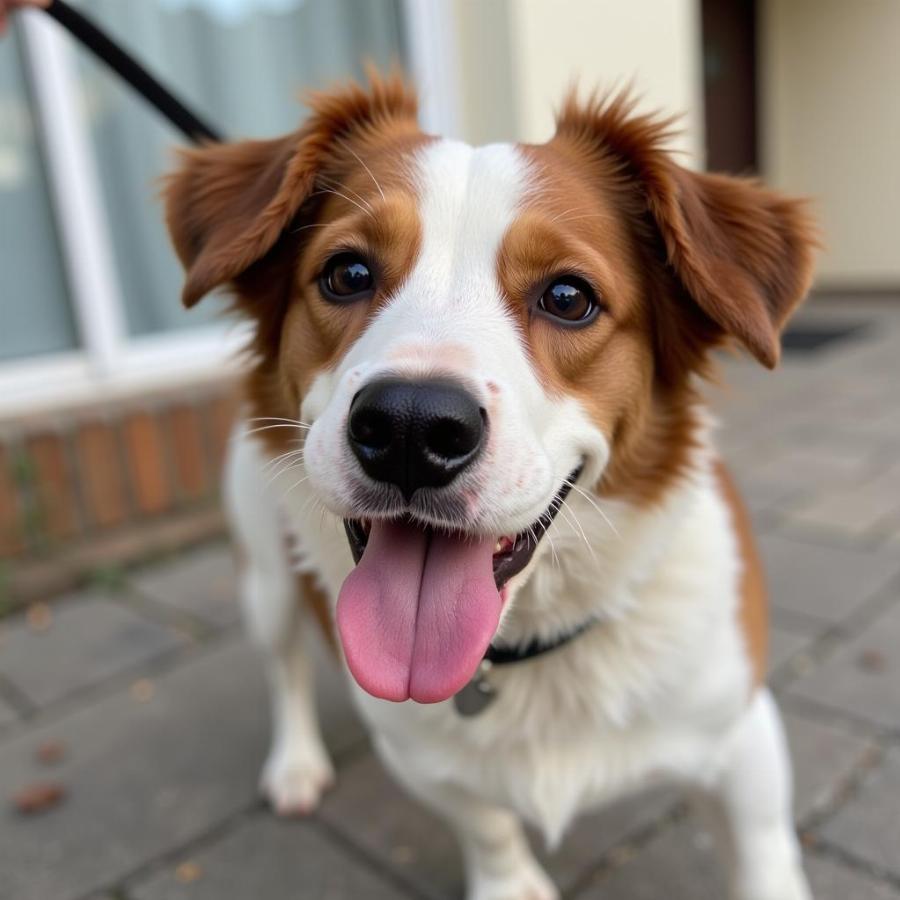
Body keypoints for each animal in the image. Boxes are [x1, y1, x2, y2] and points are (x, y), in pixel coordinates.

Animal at [162, 74, 816, 896]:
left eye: (568, 297)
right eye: (347, 274)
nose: (409, 428)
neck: (527, 646)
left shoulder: (742, 735)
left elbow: (763, 854)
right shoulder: (422, 758)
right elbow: (488, 824)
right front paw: (510, 880)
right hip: (265, 577)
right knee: (284, 671)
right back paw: (296, 764)